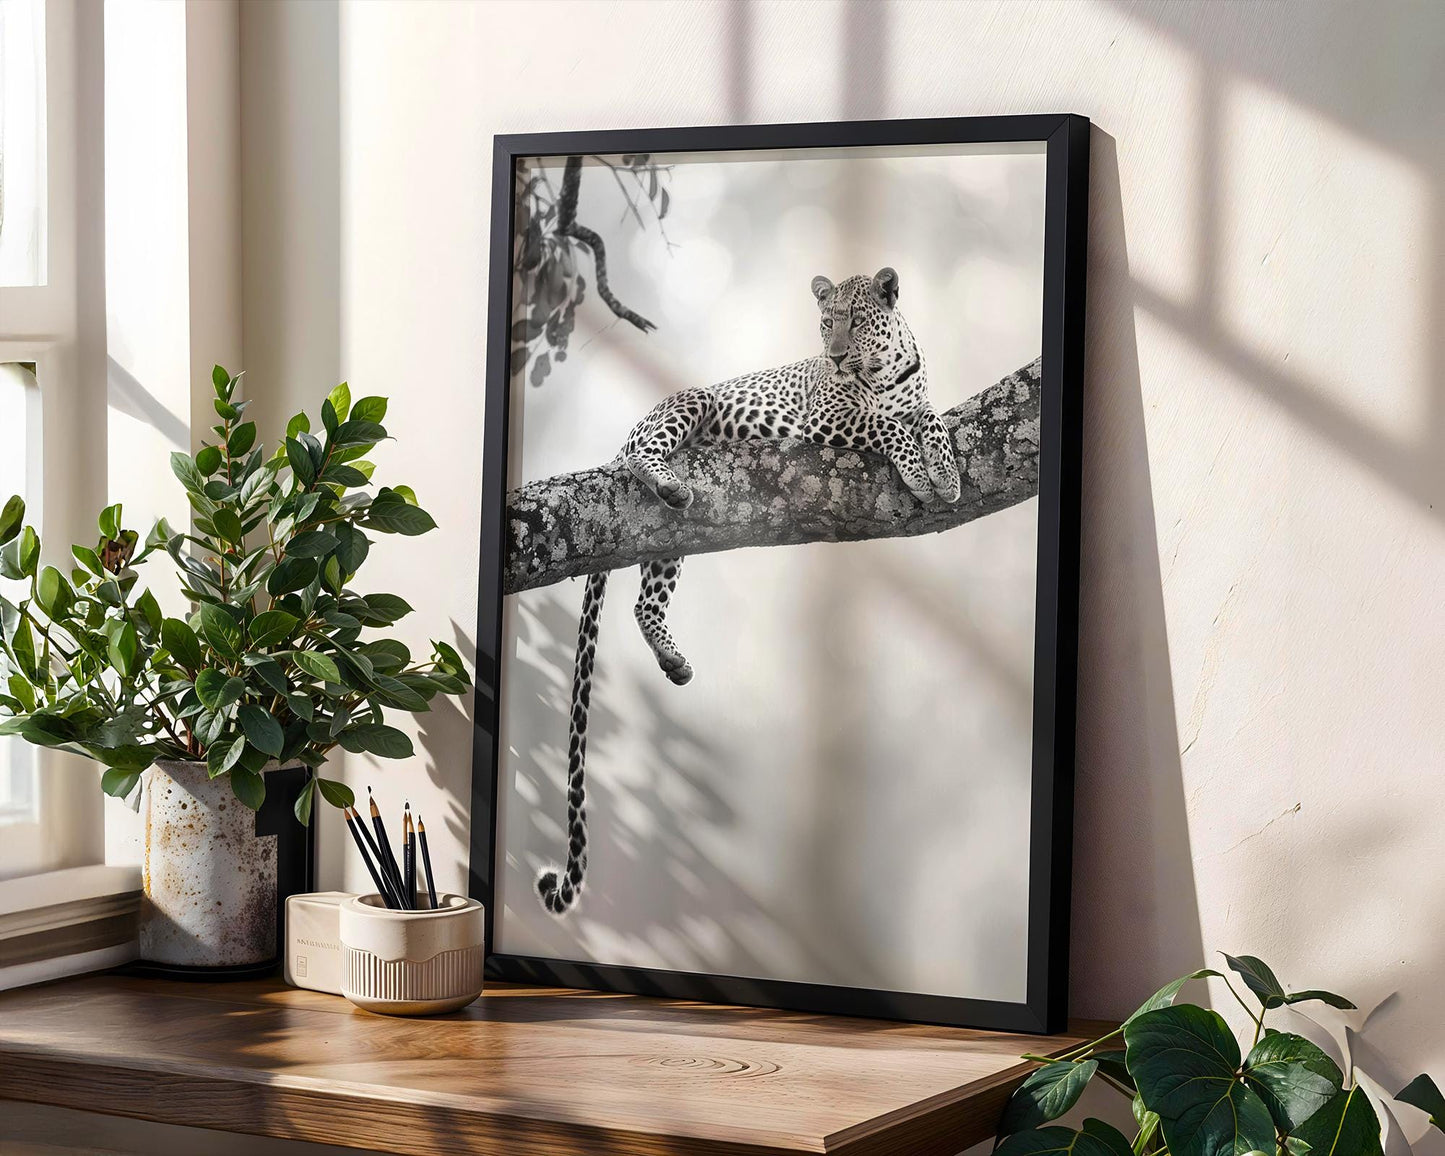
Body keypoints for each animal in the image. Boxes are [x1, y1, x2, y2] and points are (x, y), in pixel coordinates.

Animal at [536, 267, 961, 915]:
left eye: (857, 321)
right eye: (825, 321)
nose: (836, 355)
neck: (884, 370)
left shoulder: (918, 398)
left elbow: (928, 418)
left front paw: (946, 470)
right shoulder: (829, 415)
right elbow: (887, 424)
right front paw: (919, 469)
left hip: (668, 539)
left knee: (644, 600)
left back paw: (673, 657)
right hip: (690, 402)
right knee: (641, 454)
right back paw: (659, 476)